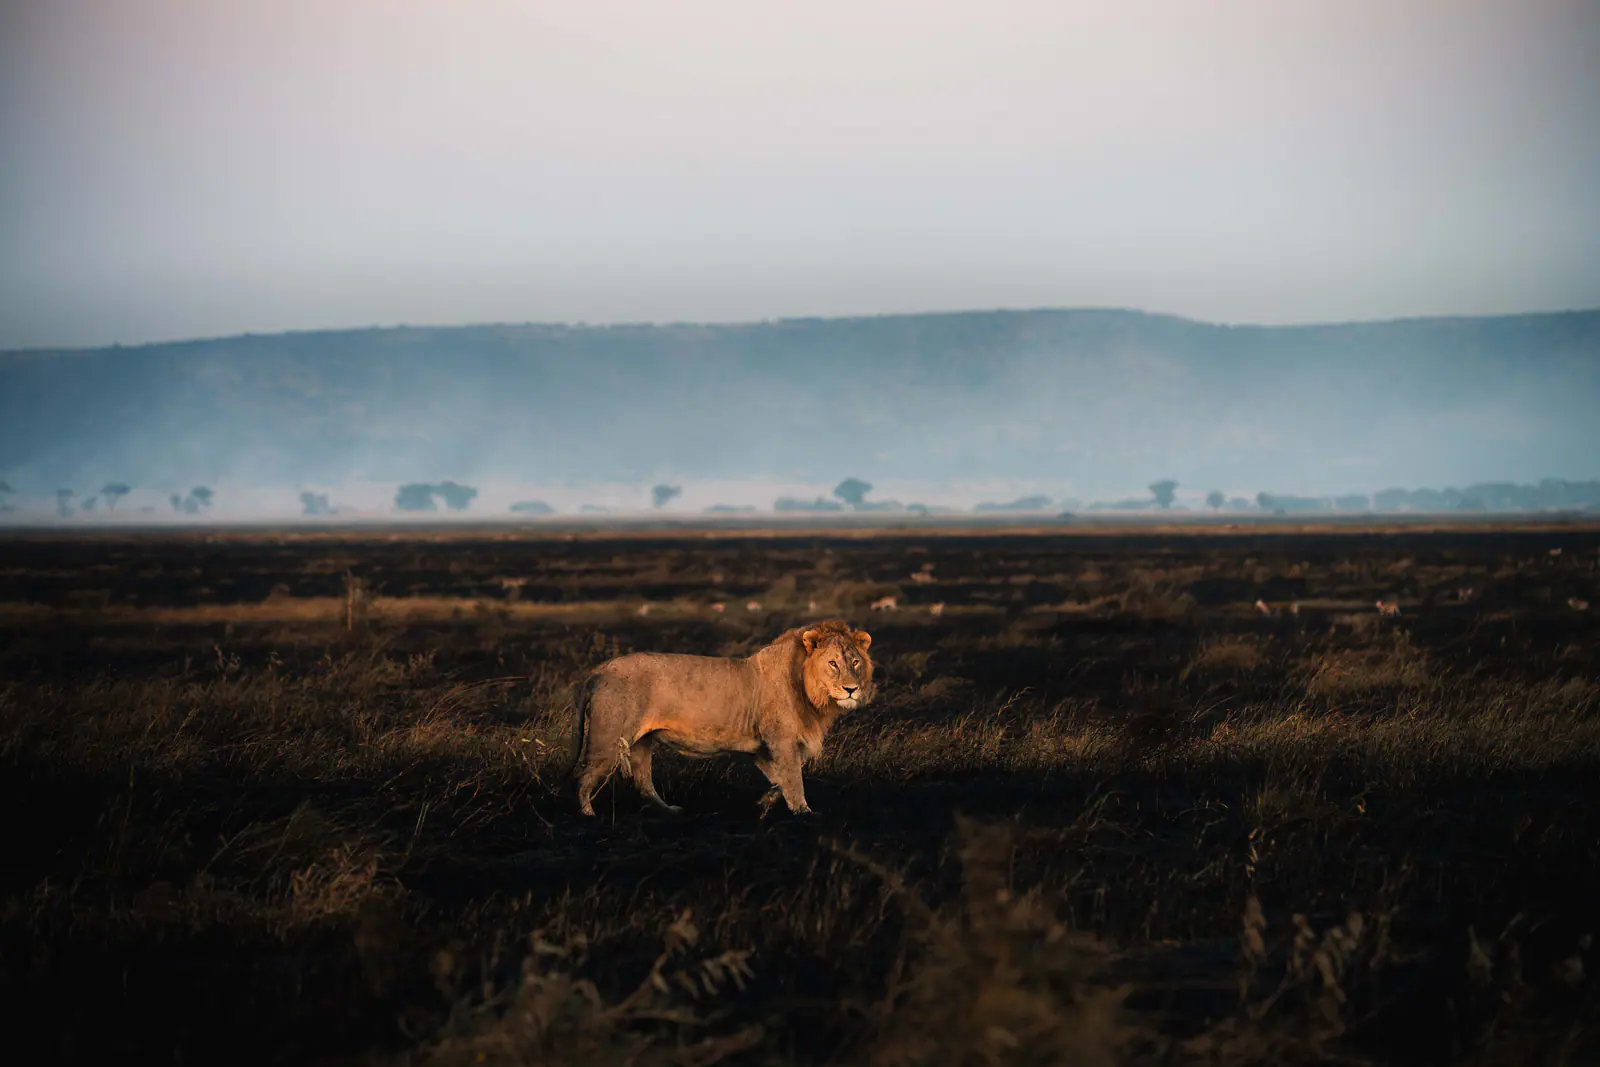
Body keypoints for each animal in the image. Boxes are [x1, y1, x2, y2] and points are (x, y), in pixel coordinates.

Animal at [568, 619, 874, 816]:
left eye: (855, 662)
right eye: (832, 663)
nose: (851, 689)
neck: (808, 691)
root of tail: (598, 670)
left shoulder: (762, 748)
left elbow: (780, 778)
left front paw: (767, 801)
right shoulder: (781, 740)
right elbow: (794, 777)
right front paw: (803, 811)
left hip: (643, 741)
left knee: (643, 783)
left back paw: (669, 810)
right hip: (608, 737)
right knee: (585, 774)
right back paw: (587, 814)